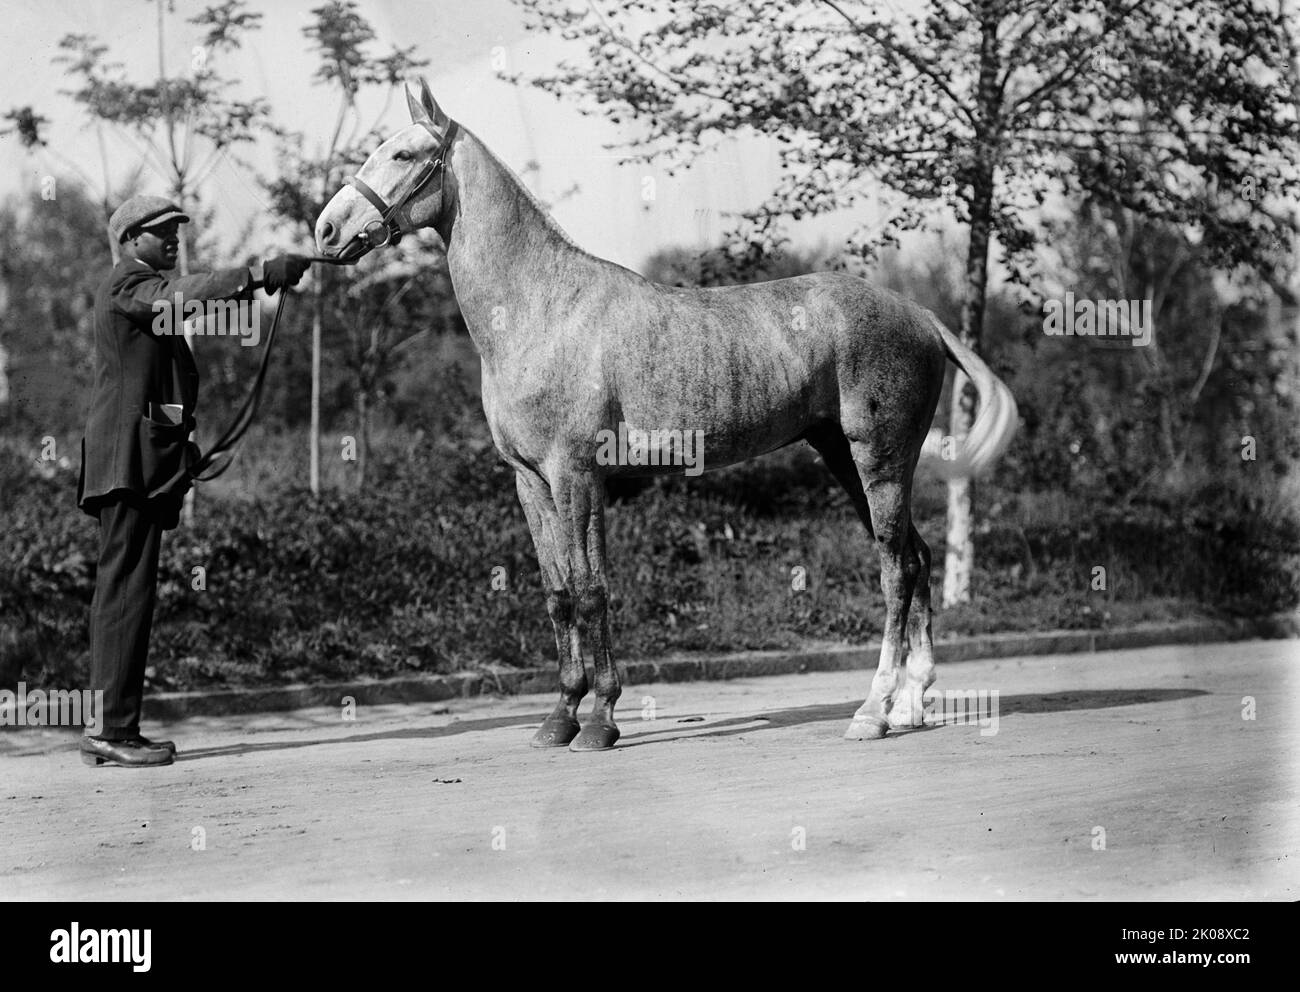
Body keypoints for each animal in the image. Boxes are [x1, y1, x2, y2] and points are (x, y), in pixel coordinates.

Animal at [314, 77, 1013, 754]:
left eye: (404, 154)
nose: (326, 231)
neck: (542, 310)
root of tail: (921, 316)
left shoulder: (575, 475)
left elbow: (591, 590)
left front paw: (599, 723)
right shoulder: (532, 480)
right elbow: (560, 593)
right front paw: (560, 719)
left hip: (880, 458)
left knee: (896, 568)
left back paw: (872, 713)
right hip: (844, 456)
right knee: (918, 557)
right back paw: (911, 706)